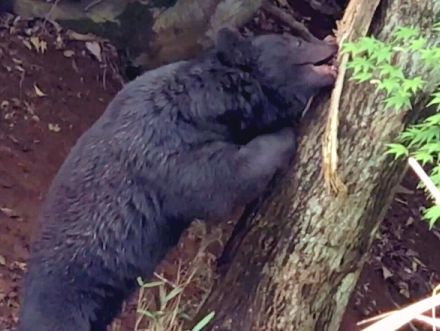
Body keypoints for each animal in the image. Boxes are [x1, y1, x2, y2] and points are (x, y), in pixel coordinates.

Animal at [17, 27, 338, 330]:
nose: (333, 42)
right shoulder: (164, 147)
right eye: (295, 41)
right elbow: (219, 183)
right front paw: (284, 135)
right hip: (71, 293)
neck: (207, 105)